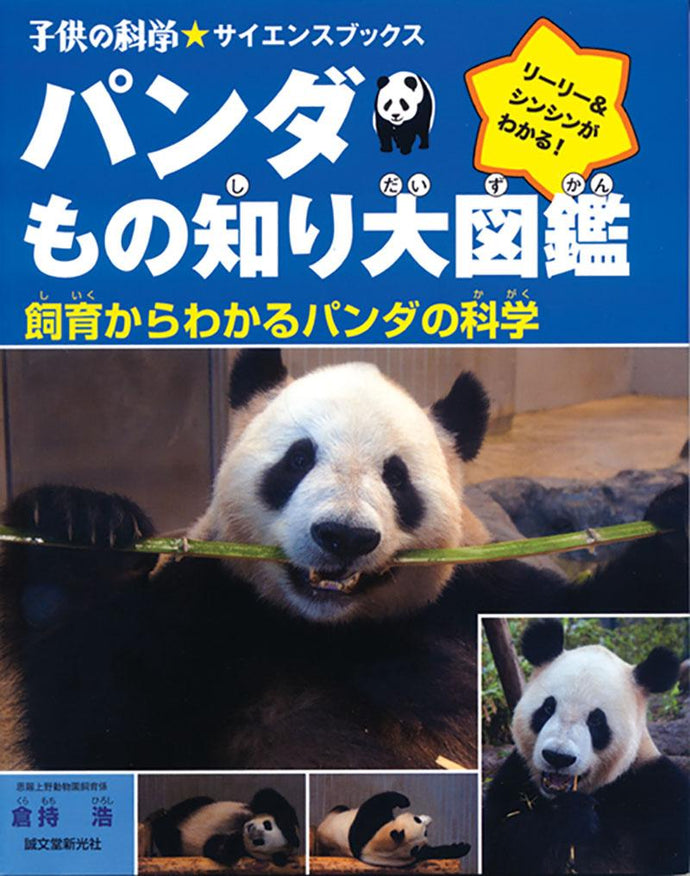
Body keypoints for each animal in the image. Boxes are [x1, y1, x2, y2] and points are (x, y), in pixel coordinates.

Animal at [0, 350, 686, 770]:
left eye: (397, 477)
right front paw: (81, 526)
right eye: (298, 458)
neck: (329, 628)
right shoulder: (208, 606)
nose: (344, 536)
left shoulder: (474, 589)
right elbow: (102, 727)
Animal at [150, 787, 299, 867]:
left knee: (169, 840)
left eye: (259, 842)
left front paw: (234, 838)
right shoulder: (255, 808)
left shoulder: (242, 852)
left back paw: (161, 828)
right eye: (268, 825)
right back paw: (163, 816)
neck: (241, 824)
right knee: (192, 803)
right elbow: (268, 796)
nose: (252, 830)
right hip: (198, 807)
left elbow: (216, 849)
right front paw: (291, 833)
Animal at [316, 790, 470, 868]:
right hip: (335, 814)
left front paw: (462, 847)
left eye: (426, 833)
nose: (429, 819)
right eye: (417, 820)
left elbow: (433, 852)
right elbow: (375, 803)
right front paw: (404, 801)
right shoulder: (366, 831)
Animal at [483, 619, 690, 874]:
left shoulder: (660, 794)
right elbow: (497, 843)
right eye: (548, 708)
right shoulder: (515, 777)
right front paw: (570, 816)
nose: (558, 757)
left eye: (597, 721)